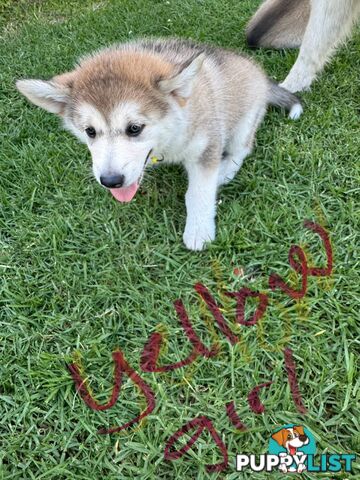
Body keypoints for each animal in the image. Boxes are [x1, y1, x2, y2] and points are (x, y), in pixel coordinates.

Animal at [15, 37, 300, 251]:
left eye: (134, 128)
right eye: (90, 131)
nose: (110, 181)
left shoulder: (206, 146)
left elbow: (198, 192)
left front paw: (198, 230)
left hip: (244, 120)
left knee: (243, 146)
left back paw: (226, 170)